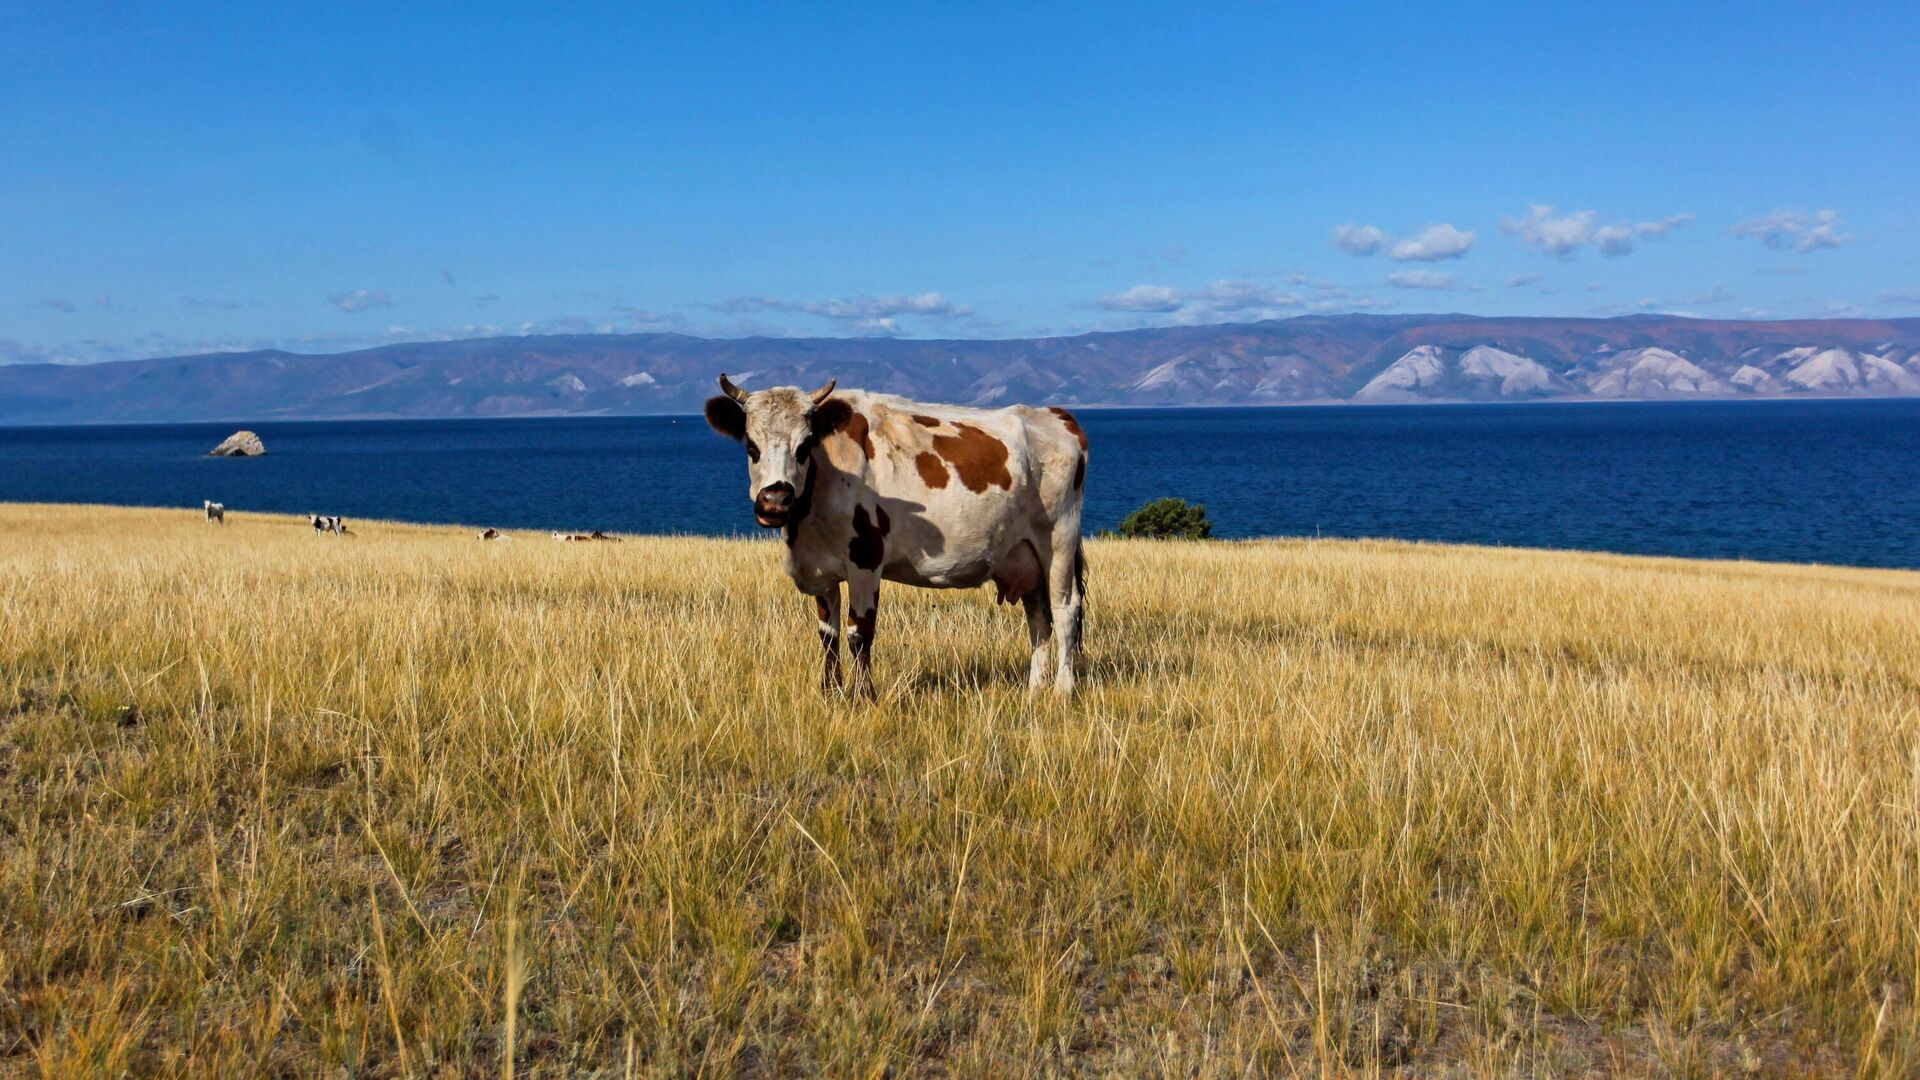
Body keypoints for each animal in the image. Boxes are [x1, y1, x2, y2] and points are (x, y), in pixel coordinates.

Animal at [710, 374, 1098, 691]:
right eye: (751, 446)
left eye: (804, 445)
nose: (775, 500)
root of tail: (1054, 415)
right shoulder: (822, 568)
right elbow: (828, 635)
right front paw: (830, 693)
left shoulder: (866, 561)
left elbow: (859, 633)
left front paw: (864, 698)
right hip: (1024, 556)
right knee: (1039, 618)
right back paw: (1034, 689)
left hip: (1058, 541)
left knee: (1065, 611)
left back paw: (1062, 690)